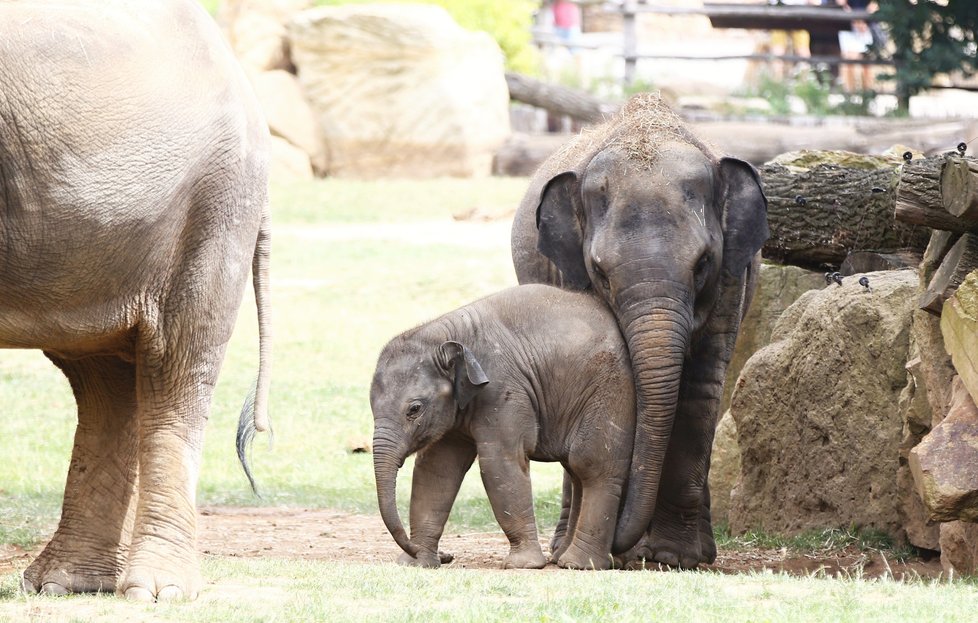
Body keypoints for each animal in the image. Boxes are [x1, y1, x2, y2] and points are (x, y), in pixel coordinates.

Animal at [370, 284, 636, 572]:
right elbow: (436, 470)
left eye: (414, 409)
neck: (446, 335)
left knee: (591, 464)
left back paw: (578, 564)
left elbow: (501, 462)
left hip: (611, 389)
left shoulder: (502, 390)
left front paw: (524, 565)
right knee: (576, 471)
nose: (447, 555)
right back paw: (563, 559)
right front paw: (416, 563)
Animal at [508, 92, 768, 572]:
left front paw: (673, 557)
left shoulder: (731, 281)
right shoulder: (567, 273)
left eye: (703, 264)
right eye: (600, 272)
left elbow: (700, 391)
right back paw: (567, 546)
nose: (618, 545)